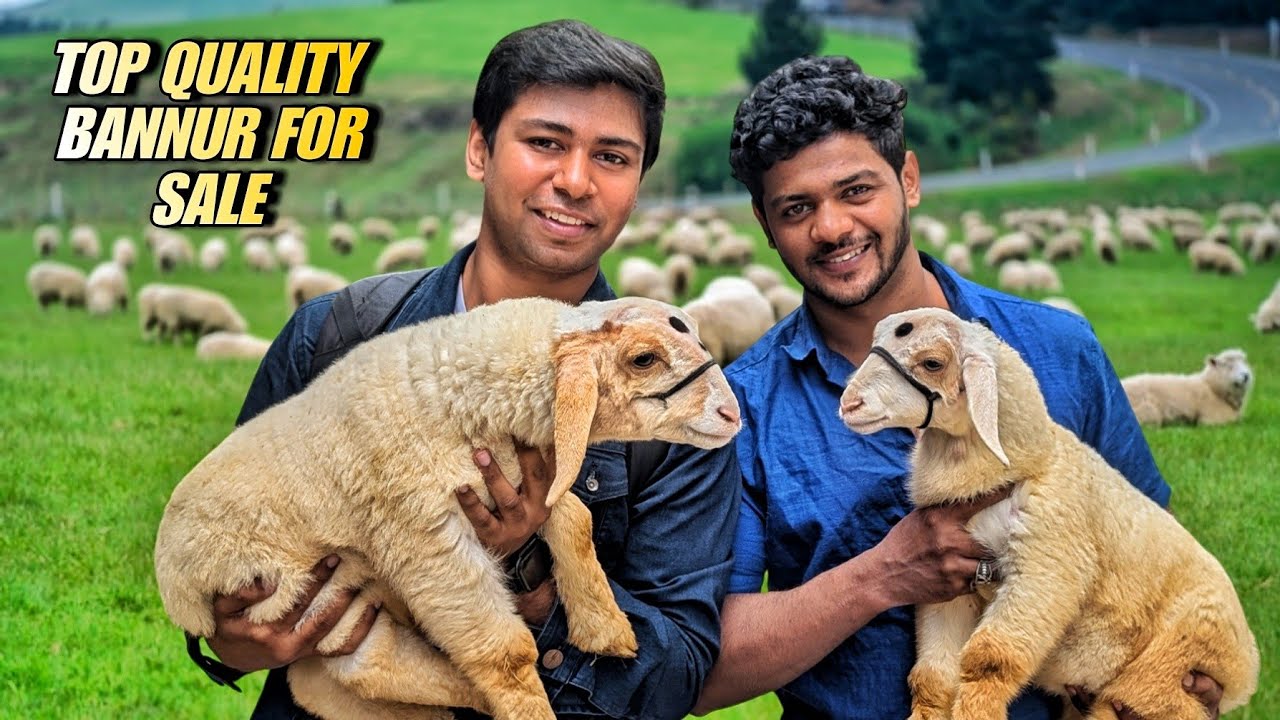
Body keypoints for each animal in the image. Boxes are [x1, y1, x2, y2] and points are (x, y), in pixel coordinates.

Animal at [1122, 349, 1254, 426]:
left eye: (1245, 363)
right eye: (1228, 366)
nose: (1246, 376)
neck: (1212, 387)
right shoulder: (1213, 418)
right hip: (1149, 412)